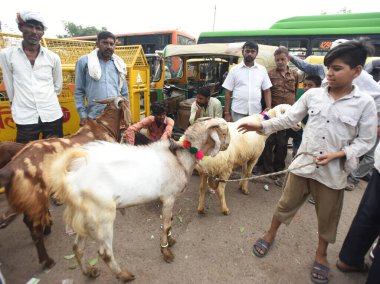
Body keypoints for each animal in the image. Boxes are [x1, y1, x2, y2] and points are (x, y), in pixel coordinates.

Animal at [49, 117, 230, 282]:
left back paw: (89, 272)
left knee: (77, 248)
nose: (228, 145)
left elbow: (170, 221)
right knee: (105, 253)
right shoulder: (169, 197)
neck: (179, 157)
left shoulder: (169, 199)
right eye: (224, 131)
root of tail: (72, 179)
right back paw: (124, 275)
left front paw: (170, 240)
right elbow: (166, 224)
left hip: (85, 219)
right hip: (102, 216)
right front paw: (166, 252)